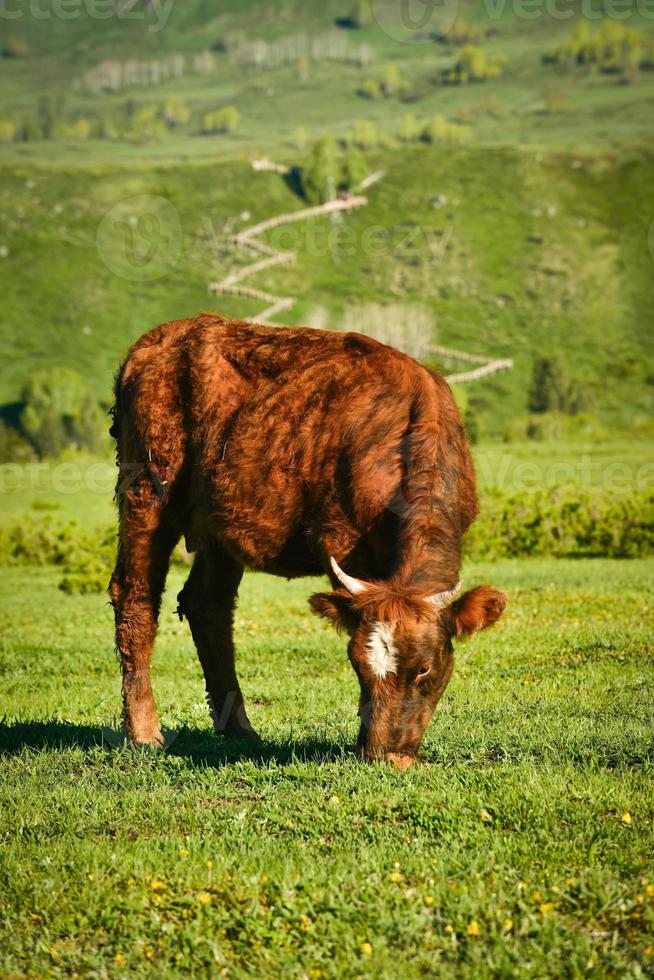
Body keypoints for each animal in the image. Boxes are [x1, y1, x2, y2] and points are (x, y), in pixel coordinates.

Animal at [110, 314, 508, 764]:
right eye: (357, 664)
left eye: (423, 667)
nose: (385, 756)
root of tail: (160, 338)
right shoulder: (340, 543)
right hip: (146, 489)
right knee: (136, 600)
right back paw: (144, 732)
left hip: (219, 521)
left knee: (206, 606)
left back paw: (239, 729)